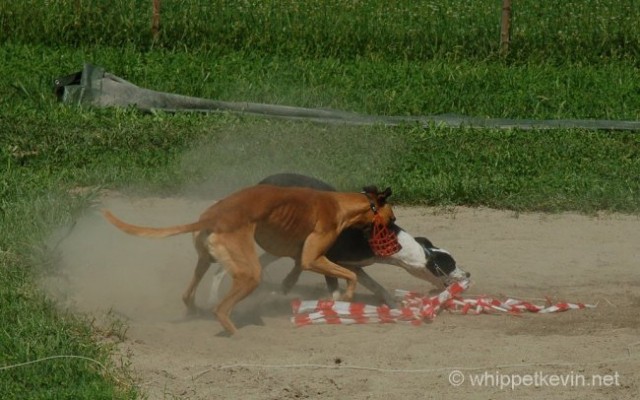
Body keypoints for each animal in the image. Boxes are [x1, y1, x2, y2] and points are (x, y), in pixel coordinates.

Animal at [102, 183, 392, 332]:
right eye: (392, 219)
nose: (391, 245)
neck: (339, 204)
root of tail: (213, 216)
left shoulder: (297, 254)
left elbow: (296, 268)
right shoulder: (313, 257)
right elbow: (350, 274)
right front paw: (346, 295)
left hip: (207, 259)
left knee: (189, 292)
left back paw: (194, 310)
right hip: (249, 273)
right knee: (222, 309)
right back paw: (233, 330)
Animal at [209, 173, 464, 306]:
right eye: (449, 265)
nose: (468, 274)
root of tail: (263, 182)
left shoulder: (353, 265)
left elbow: (374, 285)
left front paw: (392, 303)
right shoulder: (328, 257)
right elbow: (333, 288)